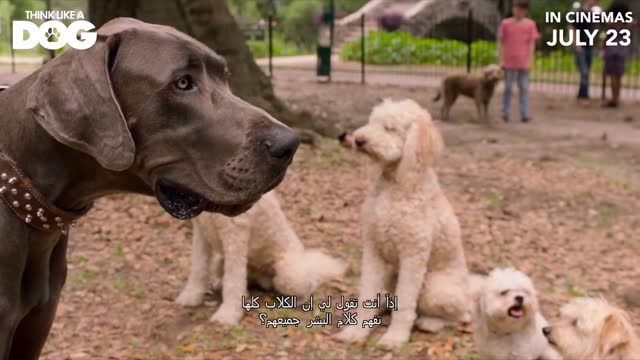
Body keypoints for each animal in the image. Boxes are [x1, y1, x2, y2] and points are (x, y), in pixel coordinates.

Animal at [175, 191, 344, 326]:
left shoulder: (235, 234)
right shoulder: (200, 233)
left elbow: (233, 281)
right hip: (220, 262)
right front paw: (190, 297)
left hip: (290, 275)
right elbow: (198, 268)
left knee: (310, 284)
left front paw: (228, 314)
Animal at [336, 98, 470, 348]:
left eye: (390, 128)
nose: (358, 140)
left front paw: (395, 337)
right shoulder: (373, 250)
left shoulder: (413, 256)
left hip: (435, 289)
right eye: (372, 122)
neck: (393, 184)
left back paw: (430, 322)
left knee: (461, 315)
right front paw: (357, 331)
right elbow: (367, 293)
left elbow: (405, 303)